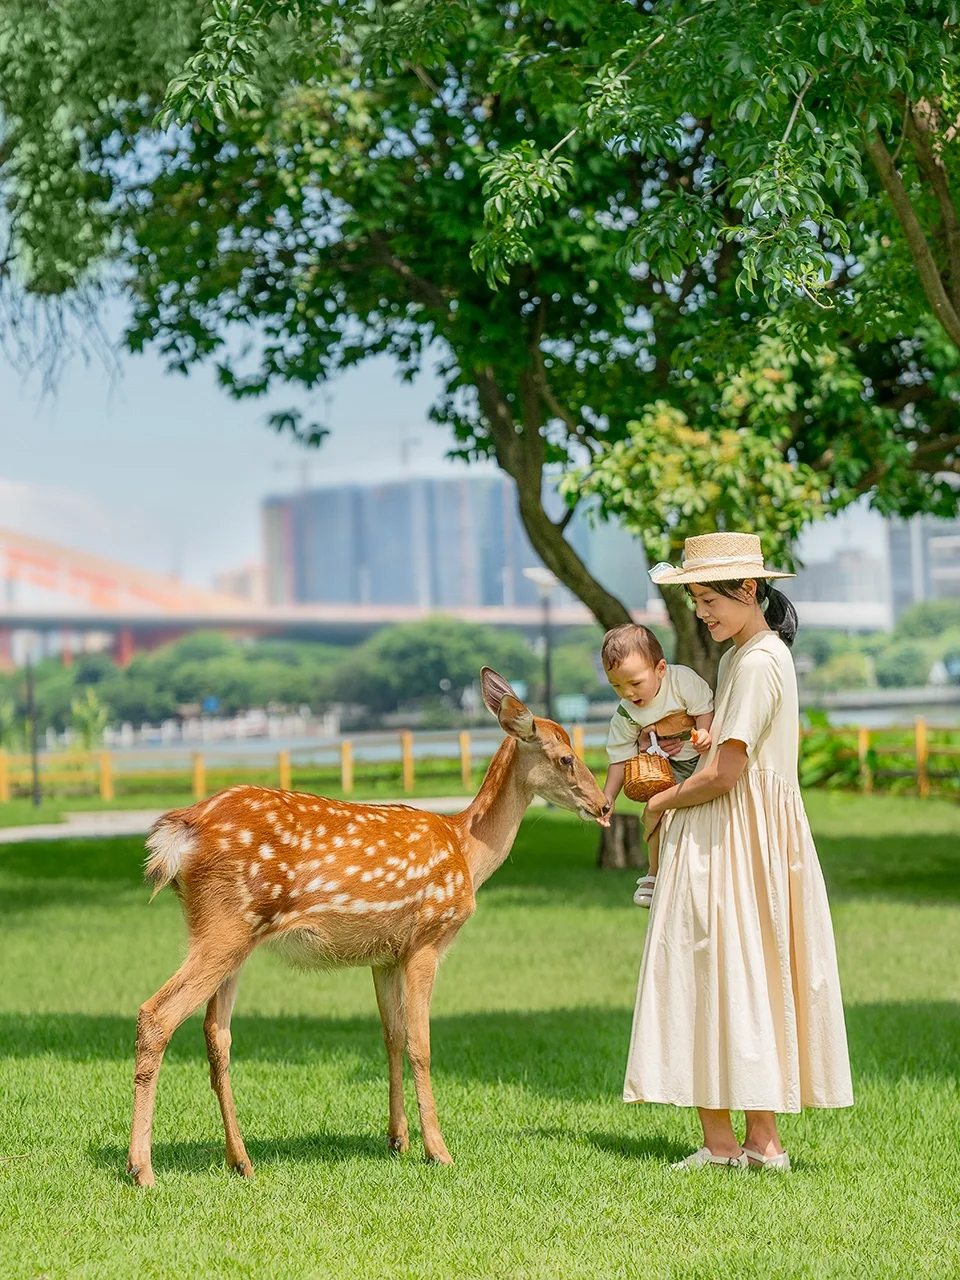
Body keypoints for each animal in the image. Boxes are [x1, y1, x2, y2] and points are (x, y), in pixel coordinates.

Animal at [128, 675, 609, 1182]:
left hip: (230, 935)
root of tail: (179, 834)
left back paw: (240, 1160)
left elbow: (391, 1036)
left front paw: (397, 1139)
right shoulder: (426, 939)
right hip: (226, 923)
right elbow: (421, 1043)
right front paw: (437, 1149)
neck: (467, 850)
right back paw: (142, 1168)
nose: (603, 805)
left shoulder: (384, 955)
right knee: (157, 1015)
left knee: (216, 1034)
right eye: (566, 757)